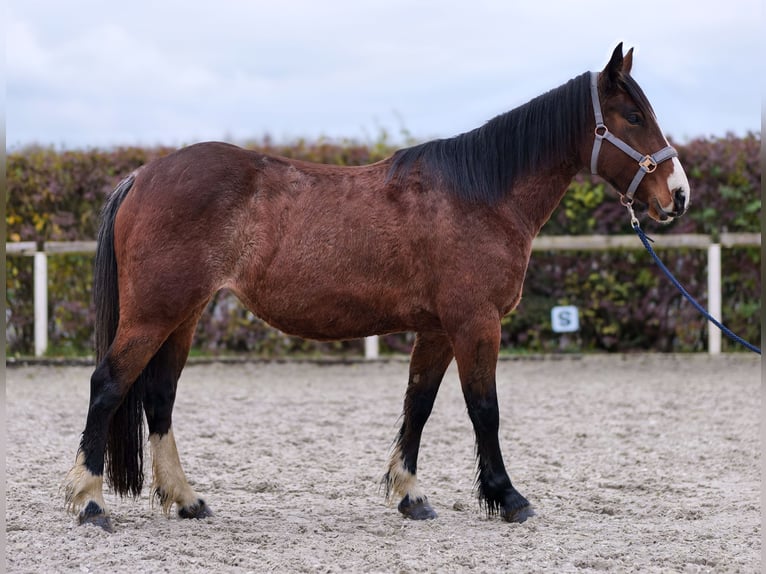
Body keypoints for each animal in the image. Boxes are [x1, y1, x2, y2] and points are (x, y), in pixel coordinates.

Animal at [64, 45, 688, 536]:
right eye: (633, 116)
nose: (677, 195)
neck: (480, 195)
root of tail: (141, 176)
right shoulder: (475, 322)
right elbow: (484, 409)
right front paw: (508, 497)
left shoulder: (437, 329)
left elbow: (419, 404)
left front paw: (411, 494)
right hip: (154, 314)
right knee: (108, 385)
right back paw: (91, 503)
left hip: (184, 314)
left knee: (159, 396)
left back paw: (186, 500)